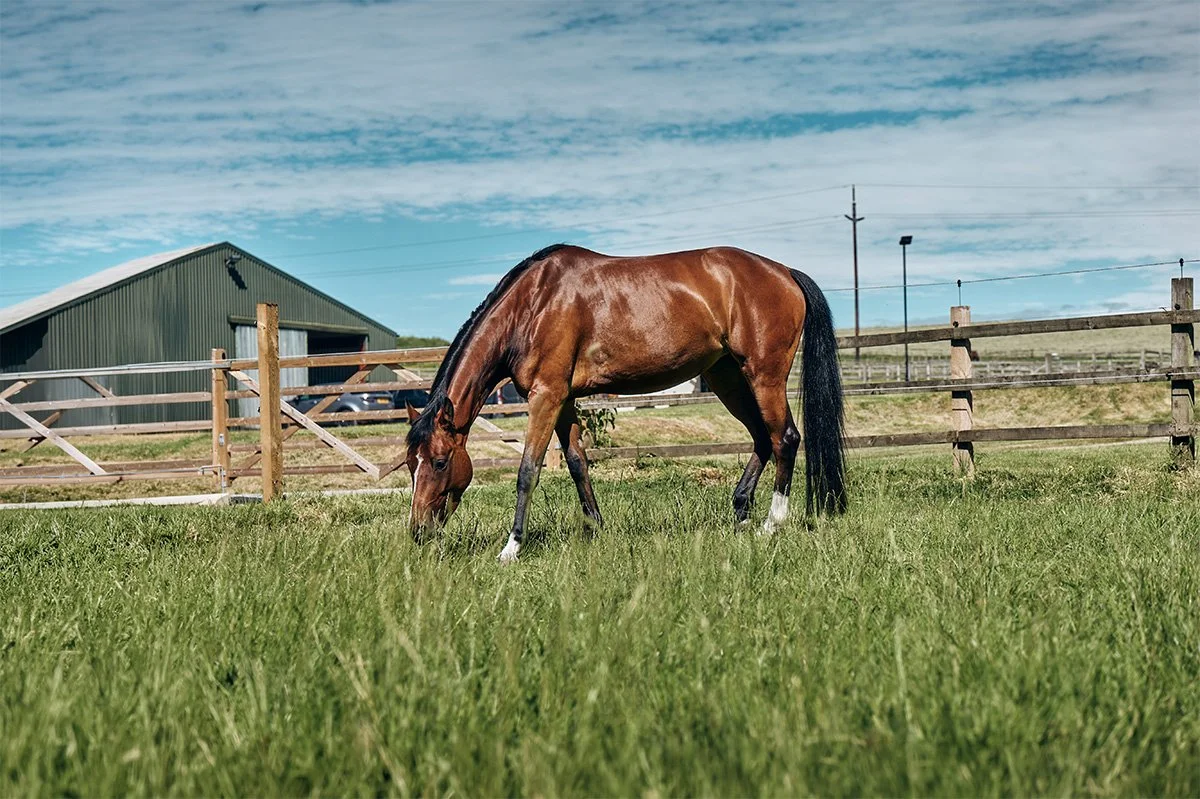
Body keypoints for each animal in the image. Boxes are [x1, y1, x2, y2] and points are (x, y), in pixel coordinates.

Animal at [402, 244, 846, 562]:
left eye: (439, 462)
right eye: (411, 464)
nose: (418, 531)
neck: (533, 304)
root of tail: (785, 272)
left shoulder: (546, 396)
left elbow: (528, 470)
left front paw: (512, 548)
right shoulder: (564, 400)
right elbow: (578, 464)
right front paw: (595, 528)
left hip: (763, 376)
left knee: (784, 438)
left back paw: (772, 523)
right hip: (728, 377)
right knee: (761, 438)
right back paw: (740, 513)